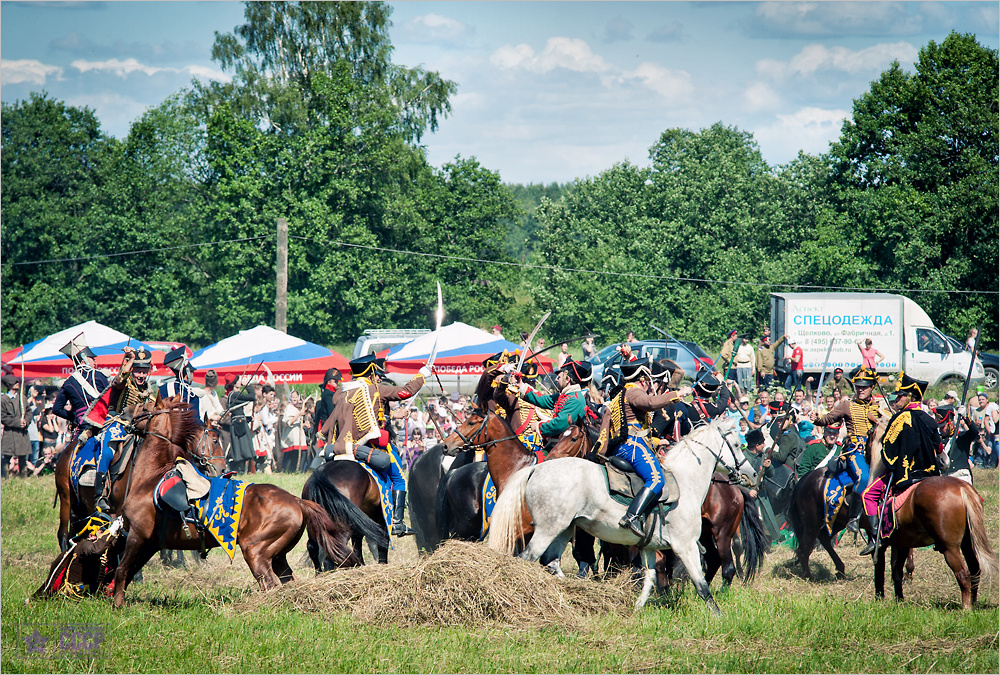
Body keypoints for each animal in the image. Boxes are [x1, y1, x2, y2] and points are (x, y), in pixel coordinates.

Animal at [108, 402, 364, 608]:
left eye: (143, 407)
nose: (121, 414)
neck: (152, 477)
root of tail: (297, 501)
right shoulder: (150, 542)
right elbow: (128, 572)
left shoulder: (137, 536)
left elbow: (122, 570)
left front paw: (118, 604)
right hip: (277, 555)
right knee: (286, 581)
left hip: (256, 552)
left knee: (269, 584)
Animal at [488, 418, 752, 612]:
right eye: (736, 444)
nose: (750, 473)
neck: (685, 481)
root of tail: (537, 468)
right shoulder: (685, 547)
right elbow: (701, 586)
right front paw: (717, 615)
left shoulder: (649, 548)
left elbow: (649, 580)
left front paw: (636, 609)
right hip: (547, 530)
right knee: (528, 560)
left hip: (564, 530)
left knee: (552, 563)